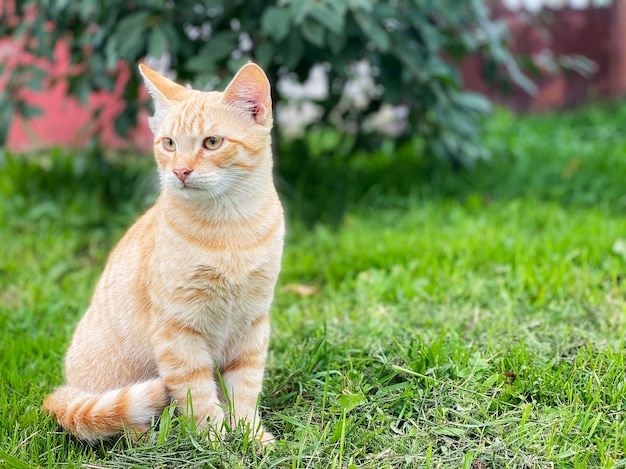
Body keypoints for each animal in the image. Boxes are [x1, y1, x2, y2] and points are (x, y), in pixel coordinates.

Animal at [44, 61, 286, 442]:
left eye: (212, 142)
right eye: (169, 143)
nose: (180, 171)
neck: (230, 226)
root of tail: (63, 392)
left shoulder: (254, 321)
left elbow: (245, 387)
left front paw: (250, 435)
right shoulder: (177, 330)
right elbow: (196, 391)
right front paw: (214, 438)